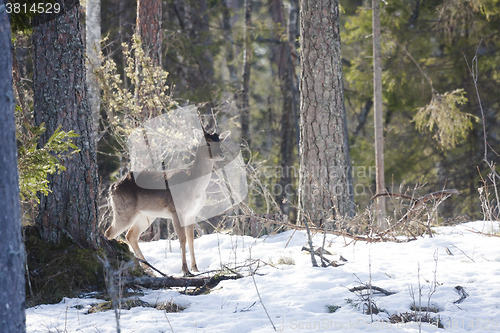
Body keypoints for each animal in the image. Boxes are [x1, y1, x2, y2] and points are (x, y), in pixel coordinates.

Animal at [106, 126, 231, 274]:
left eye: (220, 141)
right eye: (207, 143)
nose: (221, 154)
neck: (194, 185)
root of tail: (112, 187)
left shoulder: (192, 213)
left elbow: (191, 239)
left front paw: (195, 268)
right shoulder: (176, 211)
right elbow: (182, 239)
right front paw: (185, 270)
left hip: (145, 215)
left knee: (130, 235)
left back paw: (148, 268)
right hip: (124, 210)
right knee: (109, 233)